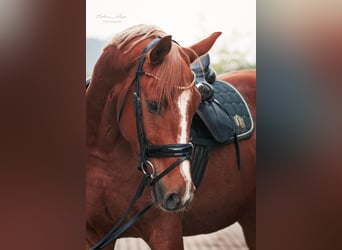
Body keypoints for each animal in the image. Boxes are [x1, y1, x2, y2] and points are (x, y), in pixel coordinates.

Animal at [87, 23, 255, 250]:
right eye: (153, 105)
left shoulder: (166, 232)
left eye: (195, 104)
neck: (104, 156)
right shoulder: (95, 235)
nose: (180, 194)